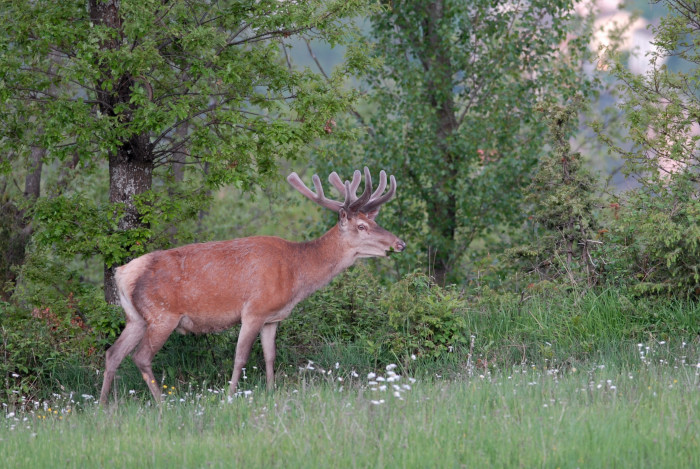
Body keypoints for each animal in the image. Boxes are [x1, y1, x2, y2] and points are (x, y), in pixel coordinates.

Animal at [98, 166, 404, 404]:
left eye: (374, 220)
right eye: (362, 227)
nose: (400, 243)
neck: (296, 273)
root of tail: (123, 273)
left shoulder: (272, 318)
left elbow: (270, 356)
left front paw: (270, 391)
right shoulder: (253, 311)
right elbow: (241, 357)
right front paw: (230, 397)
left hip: (136, 318)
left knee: (113, 353)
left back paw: (103, 406)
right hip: (162, 314)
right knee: (140, 357)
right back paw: (163, 404)